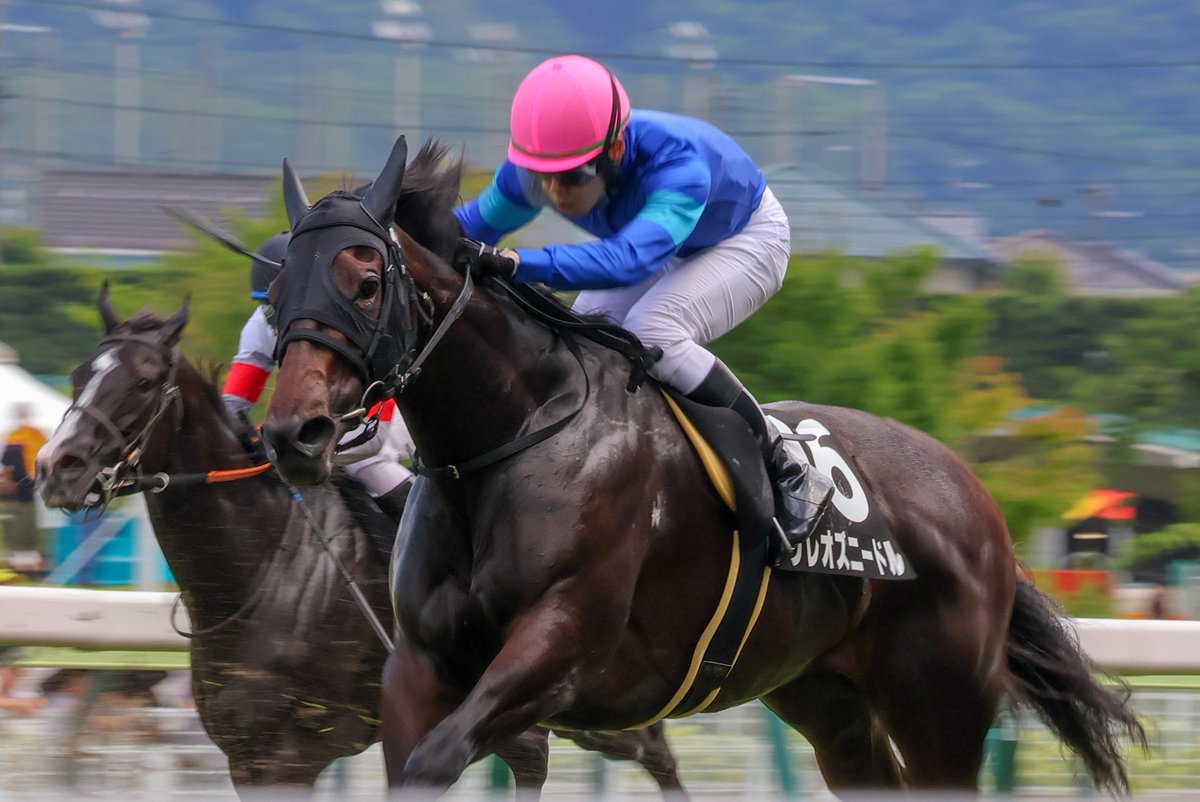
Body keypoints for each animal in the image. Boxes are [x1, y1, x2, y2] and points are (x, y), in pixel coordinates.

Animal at [35, 292, 686, 798]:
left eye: (144, 382)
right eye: (80, 375)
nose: (54, 468)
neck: (256, 572)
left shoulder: (292, 751)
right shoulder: (248, 757)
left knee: (653, 753)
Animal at [260, 135, 1145, 797]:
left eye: (364, 282)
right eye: (275, 290)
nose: (294, 433)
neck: (511, 439)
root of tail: (975, 496)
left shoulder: (559, 649)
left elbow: (443, 758)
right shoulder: (421, 663)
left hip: (941, 705)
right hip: (824, 697)